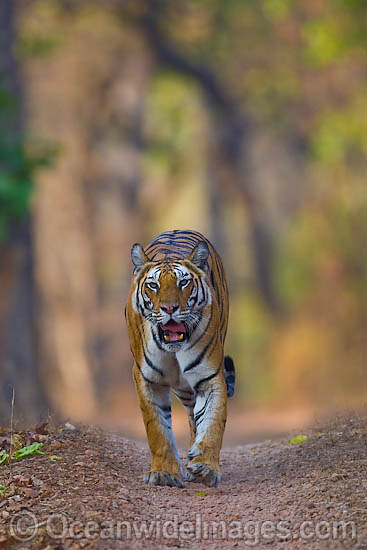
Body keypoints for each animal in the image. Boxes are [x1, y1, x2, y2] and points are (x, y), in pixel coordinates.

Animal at [126, 231, 236, 490]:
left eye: (183, 283)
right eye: (153, 285)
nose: (169, 308)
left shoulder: (210, 378)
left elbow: (212, 422)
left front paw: (205, 466)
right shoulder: (147, 380)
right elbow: (157, 429)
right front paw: (164, 473)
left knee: (196, 419)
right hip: (182, 389)